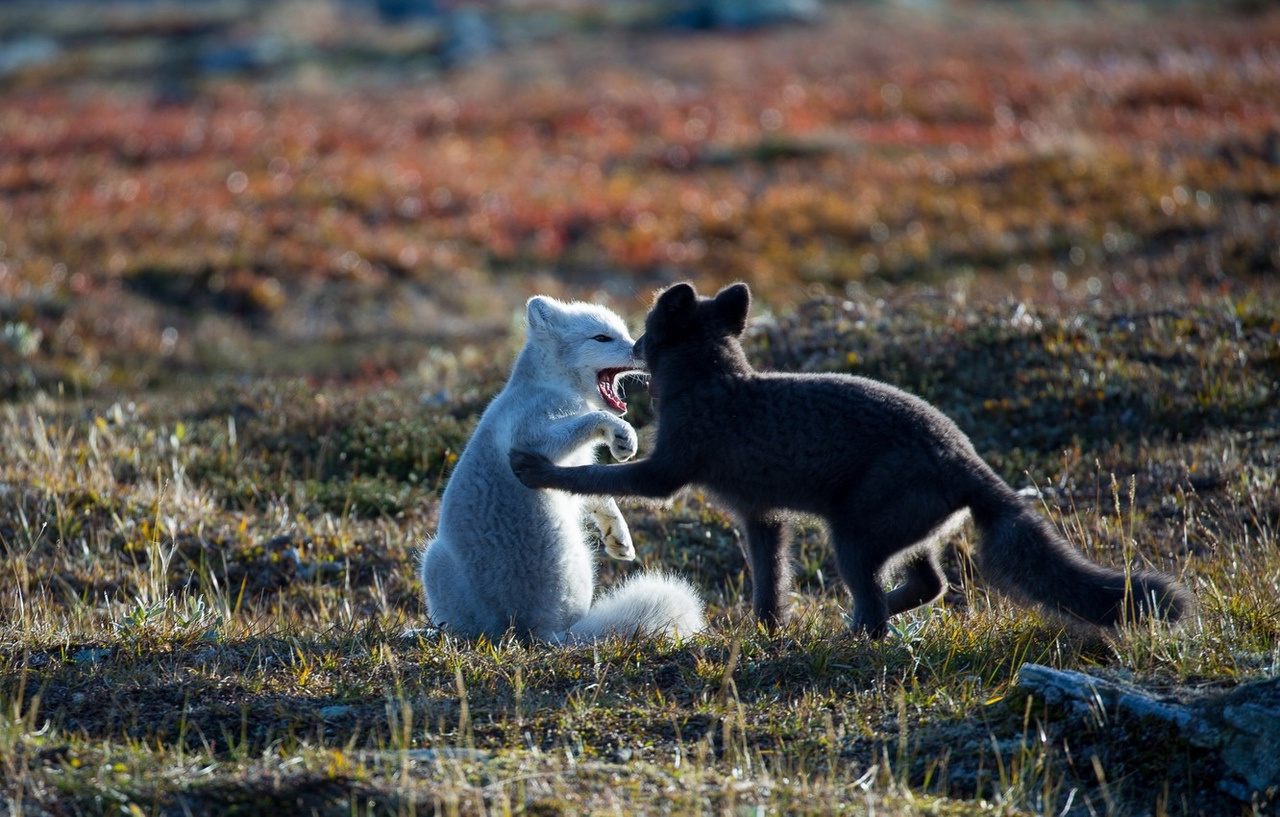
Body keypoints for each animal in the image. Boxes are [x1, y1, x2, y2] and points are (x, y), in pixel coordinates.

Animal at [419, 297, 706, 642]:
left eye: (624, 333)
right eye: (602, 338)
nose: (643, 351)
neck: (551, 384)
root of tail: (536, 632)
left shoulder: (576, 465)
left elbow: (599, 496)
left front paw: (618, 536)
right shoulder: (531, 438)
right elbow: (591, 421)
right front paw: (621, 433)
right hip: (434, 559)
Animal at [514, 283, 1192, 640]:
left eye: (647, 331)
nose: (632, 347)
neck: (713, 382)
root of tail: (969, 460)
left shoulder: (666, 472)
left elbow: (594, 475)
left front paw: (537, 471)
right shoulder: (762, 516)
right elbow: (769, 583)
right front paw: (767, 634)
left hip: (852, 535)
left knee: (881, 610)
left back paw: (853, 634)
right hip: (902, 533)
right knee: (930, 583)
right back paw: (856, 622)